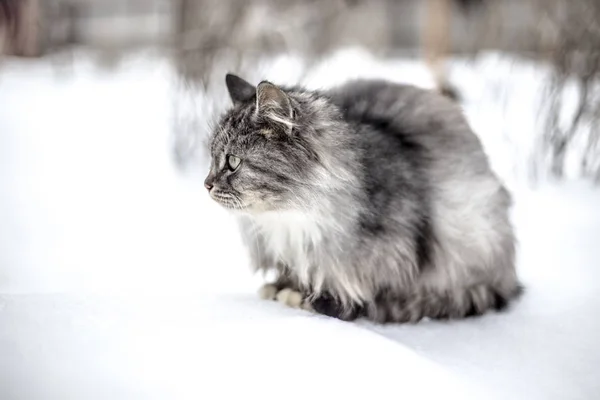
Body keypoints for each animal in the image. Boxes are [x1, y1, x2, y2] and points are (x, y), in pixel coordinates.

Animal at [205, 73, 520, 324]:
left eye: (233, 162)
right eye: (212, 158)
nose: (206, 184)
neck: (291, 216)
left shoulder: (393, 252)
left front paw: (309, 298)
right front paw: (284, 286)